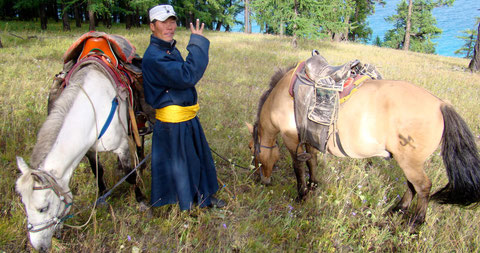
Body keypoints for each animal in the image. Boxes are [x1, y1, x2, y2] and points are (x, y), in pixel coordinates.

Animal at [15, 52, 146, 249]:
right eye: (24, 204)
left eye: (43, 208)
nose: (39, 247)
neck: (94, 109)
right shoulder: (89, 150)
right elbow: (98, 171)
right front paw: (102, 197)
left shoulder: (122, 146)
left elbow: (130, 174)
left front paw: (141, 200)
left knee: (140, 144)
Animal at [248, 53, 480, 227]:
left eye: (252, 148)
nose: (262, 180)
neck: (282, 95)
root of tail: (441, 104)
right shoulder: (309, 136)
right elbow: (312, 160)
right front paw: (313, 186)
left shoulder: (291, 137)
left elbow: (298, 166)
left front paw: (301, 195)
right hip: (410, 161)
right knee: (412, 186)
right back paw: (397, 209)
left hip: (410, 162)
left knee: (423, 187)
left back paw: (416, 222)